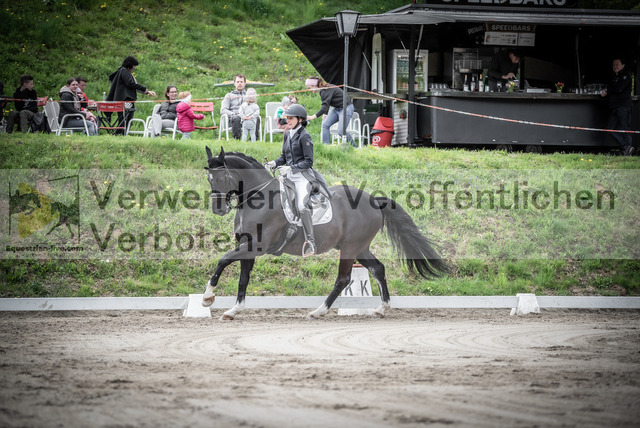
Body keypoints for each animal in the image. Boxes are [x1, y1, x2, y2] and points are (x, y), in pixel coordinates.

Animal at [203, 146, 449, 320]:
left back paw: (318, 311)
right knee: (378, 268)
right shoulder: (248, 246)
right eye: (209, 179)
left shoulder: (257, 247)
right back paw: (381, 308)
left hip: (350, 247)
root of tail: (374, 200)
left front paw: (208, 297)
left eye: (223, 178)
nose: (218, 209)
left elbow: (223, 260)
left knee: (343, 279)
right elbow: (243, 279)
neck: (258, 199)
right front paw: (233, 310)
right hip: (360, 248)